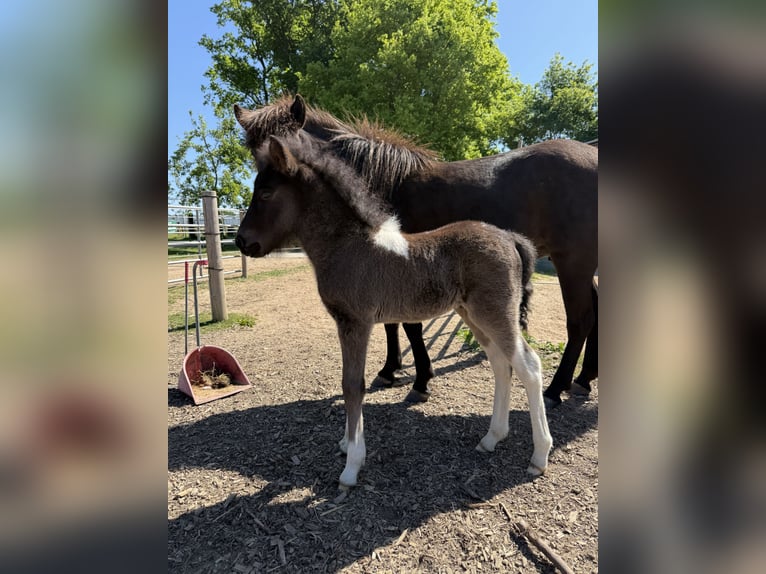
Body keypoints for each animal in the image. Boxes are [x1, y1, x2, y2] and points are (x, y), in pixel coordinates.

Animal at [234, 95, 597, 408]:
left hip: (572, 263)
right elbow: (392, 324)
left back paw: (556, 388)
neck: (381, 181)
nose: (243, 241)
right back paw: (584, 379)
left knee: (579, 320)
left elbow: (409, 326)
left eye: (282, 146)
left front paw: (420, 380)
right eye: (253, 151)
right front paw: (390, 369)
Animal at [235, 133, 553, 487]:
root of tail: (510, 238)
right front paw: (346, 444)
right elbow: (350, 382)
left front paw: (352, 465)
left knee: (528, 365)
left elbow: (352, 385)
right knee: (500, 364)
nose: (241, 241)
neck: (348, 246)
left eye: (266, 192)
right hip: (472, 314)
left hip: (495, 313)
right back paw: (492, 438)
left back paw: (539, 456)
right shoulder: (346, 323)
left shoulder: (355, 323)